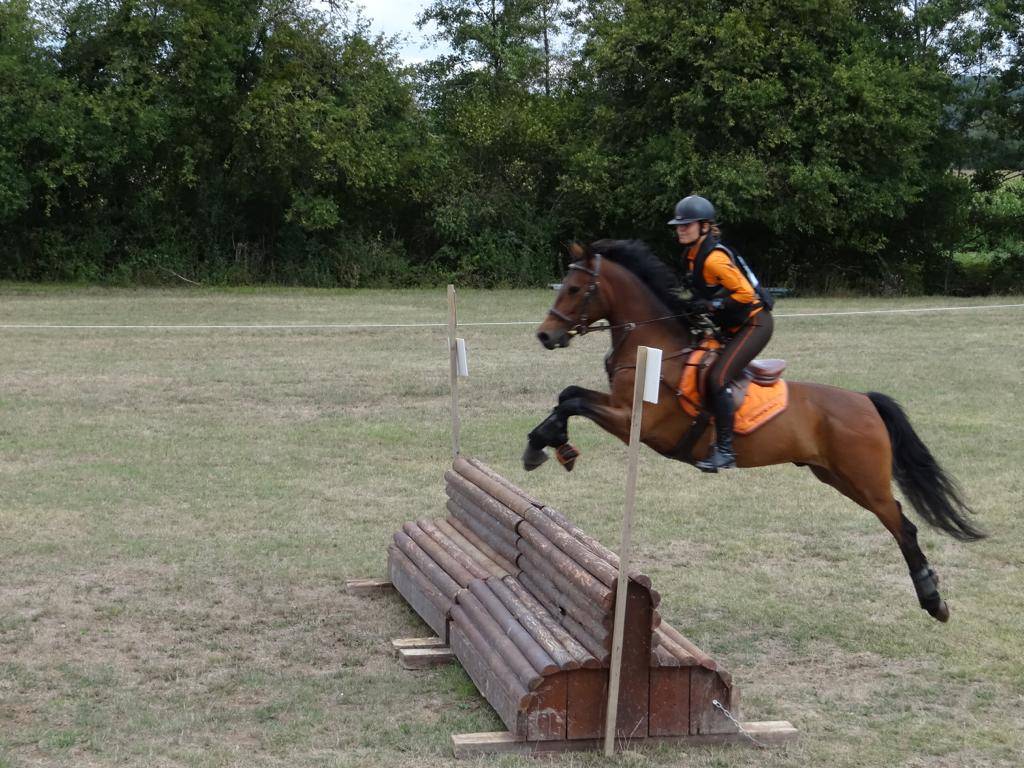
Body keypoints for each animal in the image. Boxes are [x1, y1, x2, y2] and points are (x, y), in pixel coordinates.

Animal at [523, 239, 985, 623]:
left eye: (574, 289)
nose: (544, 335)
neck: (657, 348)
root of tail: (865, 400)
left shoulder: (634, 421)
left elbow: (573, 401)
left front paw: (548, 444)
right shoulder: (619, 409)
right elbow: (568, 395)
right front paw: (544, 445)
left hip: (865, 479)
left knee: (903, 526)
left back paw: (934, 601)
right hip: (837, 477)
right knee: (899, 521)